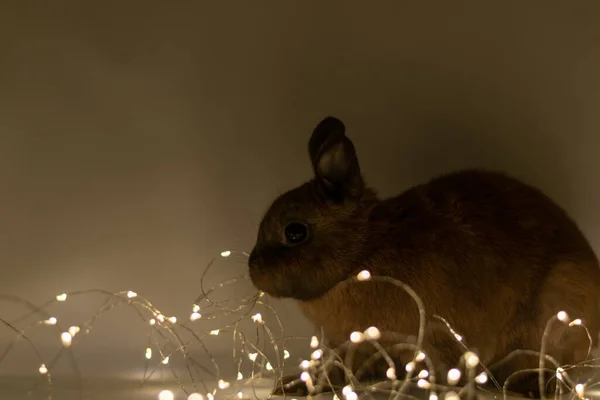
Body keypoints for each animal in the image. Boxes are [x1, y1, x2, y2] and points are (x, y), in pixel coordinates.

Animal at [246, 115, 596, 396]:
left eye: (295, 232)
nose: (253, 270)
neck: (363, 253)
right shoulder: (350, 344)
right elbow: (335, 369)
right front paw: (292, 385)